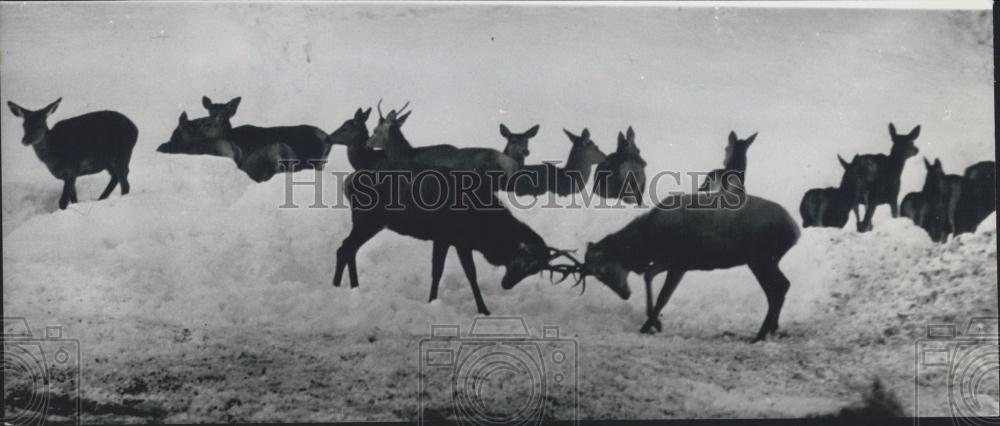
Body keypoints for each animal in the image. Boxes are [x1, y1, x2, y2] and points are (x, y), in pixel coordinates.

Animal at [7, 97, 138, 210]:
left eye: (39, 124)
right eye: (24, 125)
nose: (25, 140)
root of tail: (136, 129)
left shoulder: (73, 168)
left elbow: (63, 202)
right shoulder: (68, 175)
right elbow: (74, 199)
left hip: (122, 154)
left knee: (125, 182)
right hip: (109, 161)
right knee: (116, 177)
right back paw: (100, 198)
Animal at [330, 160, 580, 312]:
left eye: (535, 271)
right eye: (524, 262)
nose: (507, 284)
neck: (484, 231)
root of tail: (347, 183)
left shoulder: (452, 240)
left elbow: (449, 272)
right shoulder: (451, 238)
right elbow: (458, 273)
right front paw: (481, 309)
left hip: (368, 222)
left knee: (349, 248)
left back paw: (354, 287)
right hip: (368, 219)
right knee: (344, 248)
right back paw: (336, 286)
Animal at [560, 193, 800, 342]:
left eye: (601, 270)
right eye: (596, 276)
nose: (624, 294)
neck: (647, 242)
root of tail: (795, 230)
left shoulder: (680, 261)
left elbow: (660, 291)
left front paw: (650, 325)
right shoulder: (674, 262)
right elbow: (653, 280)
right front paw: (654, 323)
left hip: (760, 258)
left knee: (778, 288)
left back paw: (760, 334)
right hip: (765, 259)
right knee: (782, 286)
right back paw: (771, 329)